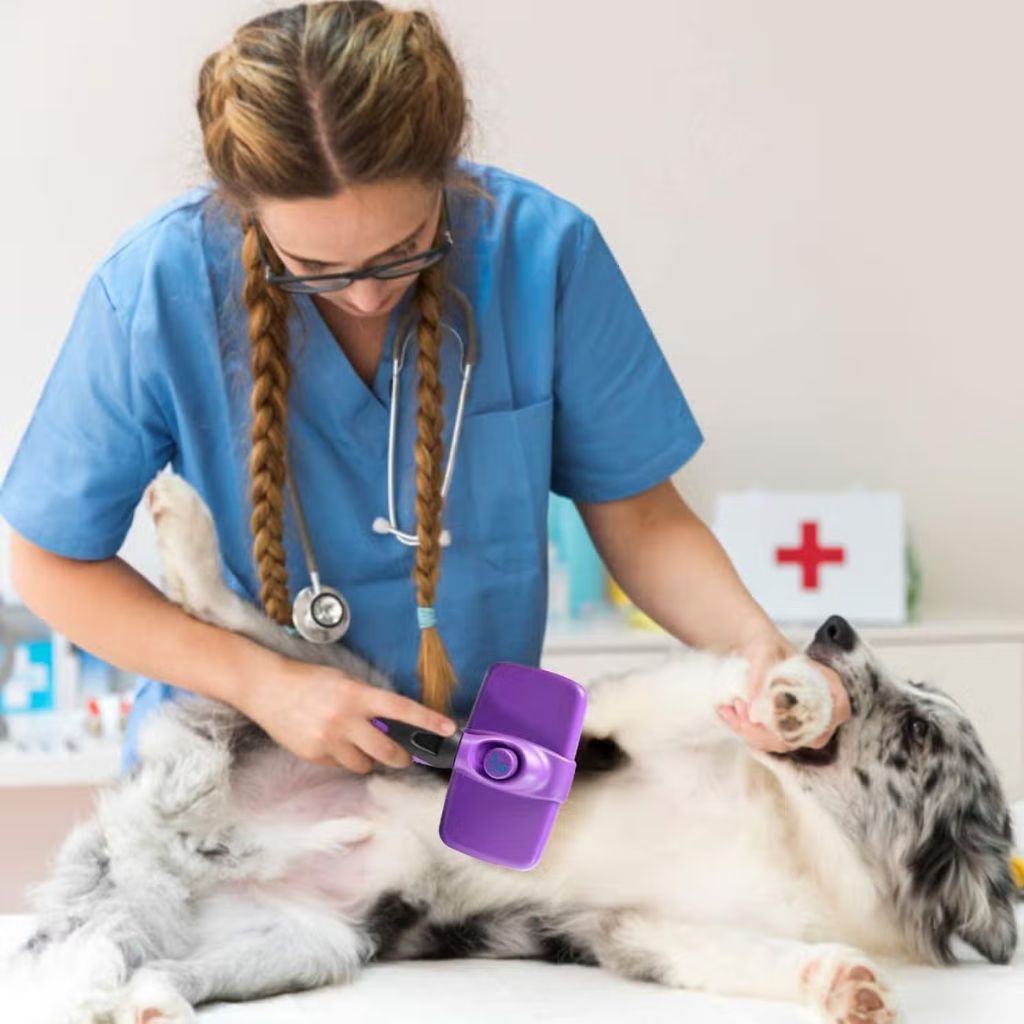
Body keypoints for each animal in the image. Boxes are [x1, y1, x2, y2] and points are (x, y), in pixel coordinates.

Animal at [2, 471, 1015, 1024]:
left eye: (919, 730)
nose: (837, 626)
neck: (800, 839)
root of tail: (157, 840)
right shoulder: (621, 723)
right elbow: (702, 682)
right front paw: (790, 692)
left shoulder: (645, 929)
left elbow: (758, 959)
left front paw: (848, 988)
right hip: (338, 691)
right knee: (232, 619)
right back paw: (183, 529)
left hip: (308, 940)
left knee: (167, 966)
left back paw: (150, 1001)